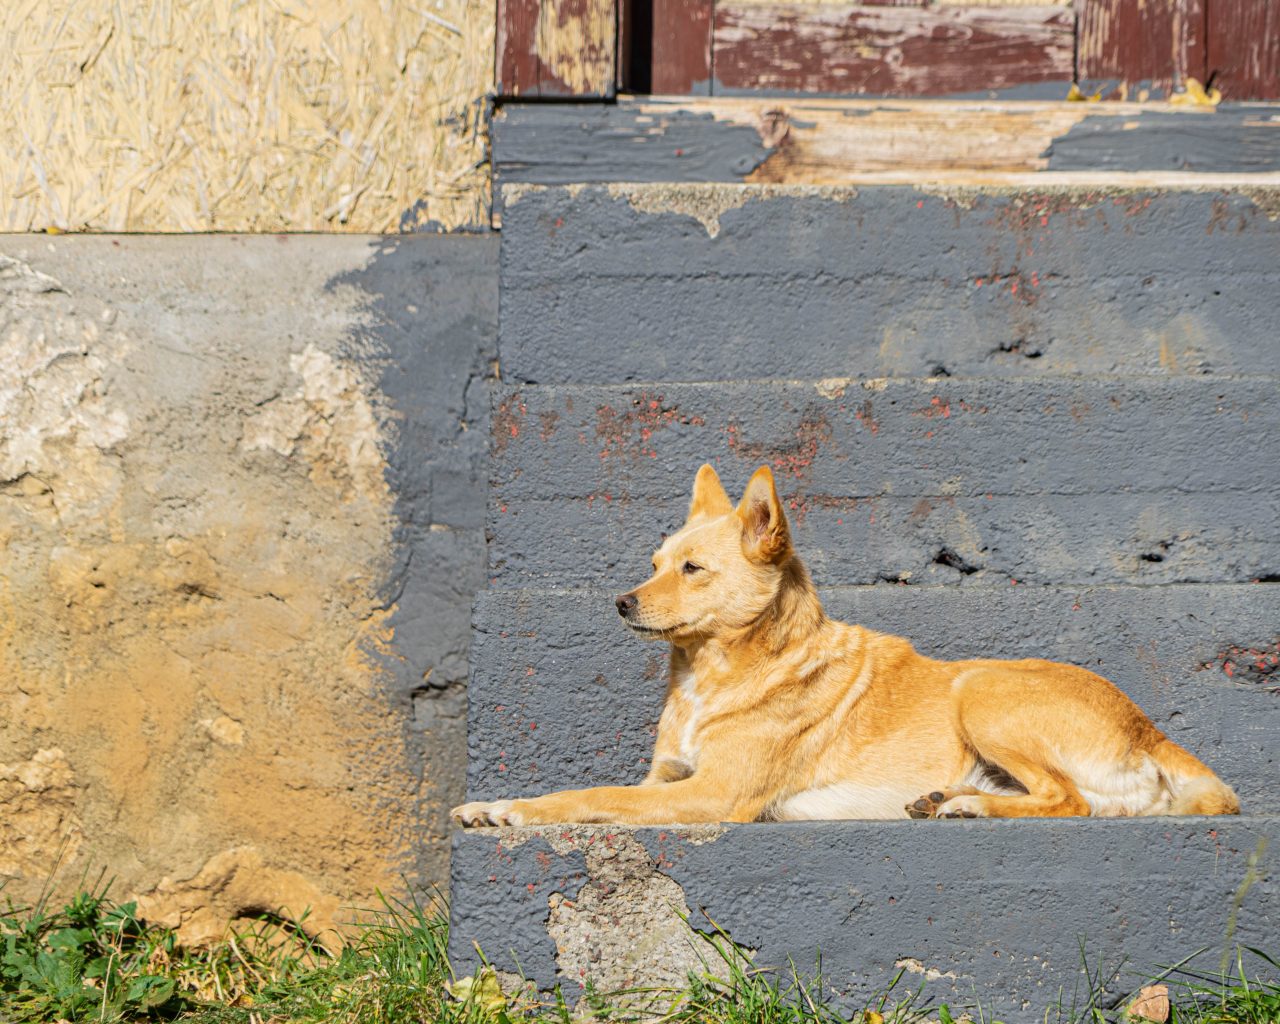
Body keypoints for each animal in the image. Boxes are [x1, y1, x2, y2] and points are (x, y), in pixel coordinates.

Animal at [453, 460, 1239, 824]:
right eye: (653, 564)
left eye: (692, 570)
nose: (620, 601)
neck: (713, 673)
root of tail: (1148, 729)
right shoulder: (665, 780)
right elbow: (610, 788)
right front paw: (492, 803)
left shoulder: (711, 794)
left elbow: (591, 793)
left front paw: (517, 809)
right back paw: (947, 797)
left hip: (982, 690)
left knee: (1066, 801)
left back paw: (970, 806)